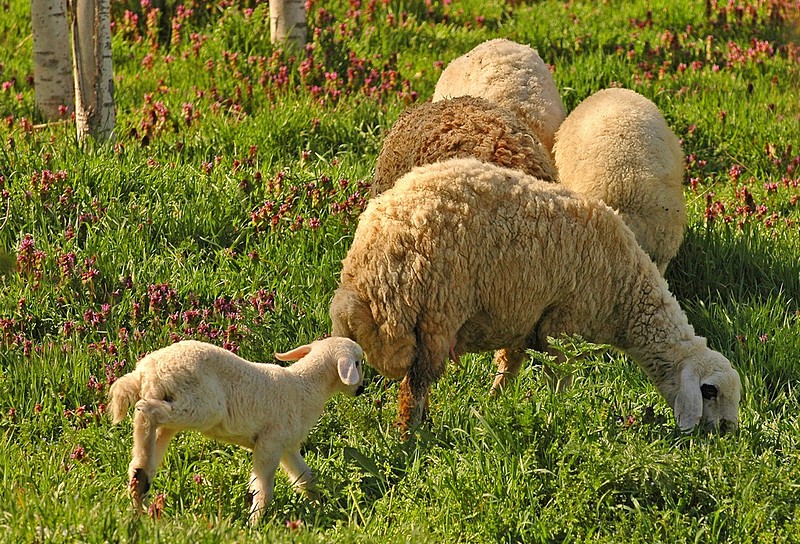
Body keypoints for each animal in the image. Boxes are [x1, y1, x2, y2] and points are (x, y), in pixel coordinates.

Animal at [106, 338, 366, 524]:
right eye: (358, 362)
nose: (361, 389)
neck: (303, 385)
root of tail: (147, 370)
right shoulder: (269, 442)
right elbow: (263, 488)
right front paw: (255, 523)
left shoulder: (287, 445)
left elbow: (305, 478)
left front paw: (322, 504)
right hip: (202, 405)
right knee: (148, 412)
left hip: (172, 411)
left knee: (146, 437)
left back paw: (139, 489)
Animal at [328, 158, 740, 438]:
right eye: (710, 391)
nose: (727, 435)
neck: (626, 297)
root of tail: (368, 264)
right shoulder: (564, 324)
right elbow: (561, 376)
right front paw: (560, 411)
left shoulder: (522, 319)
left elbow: (508, 366)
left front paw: (492, 404)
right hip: (434, 315)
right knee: (412, 390)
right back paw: (411, 438)